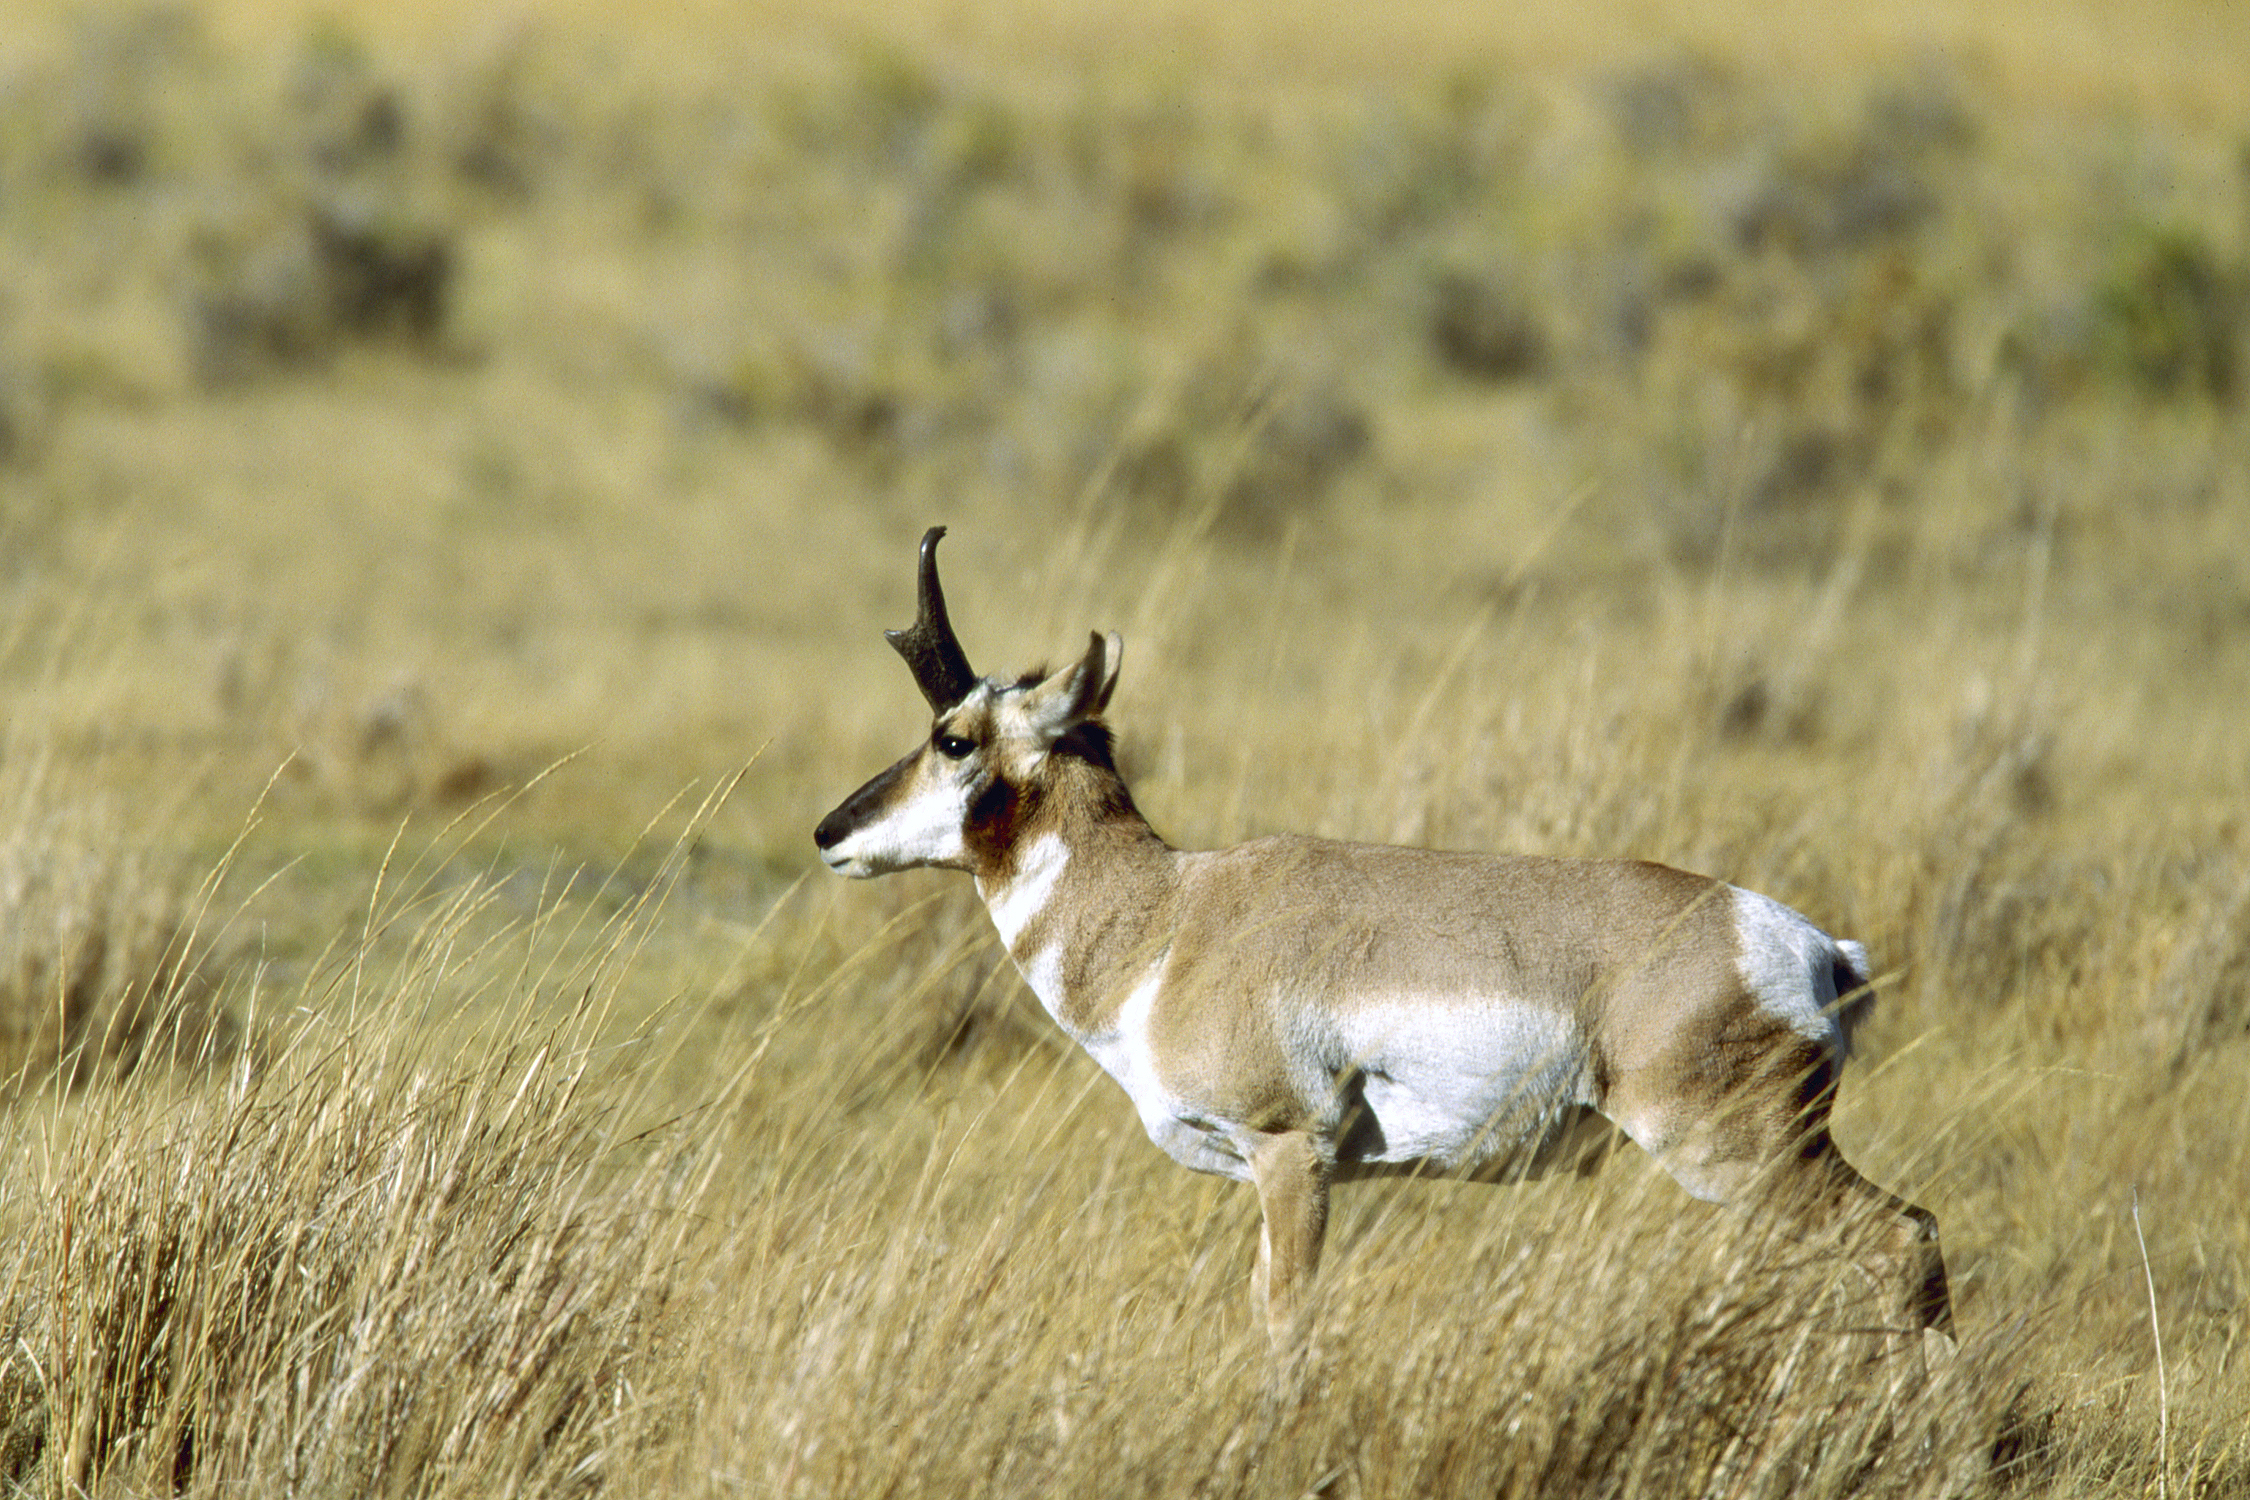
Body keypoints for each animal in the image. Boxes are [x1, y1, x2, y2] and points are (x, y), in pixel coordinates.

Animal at [814, 530, 1953, 1358]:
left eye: (953, 738)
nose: (829, 833)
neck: (1175, 916)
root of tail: (1807, 946)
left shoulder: (1291, 1156)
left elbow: (1287, 1324)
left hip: (1741, 1157)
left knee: (1902, 1240)